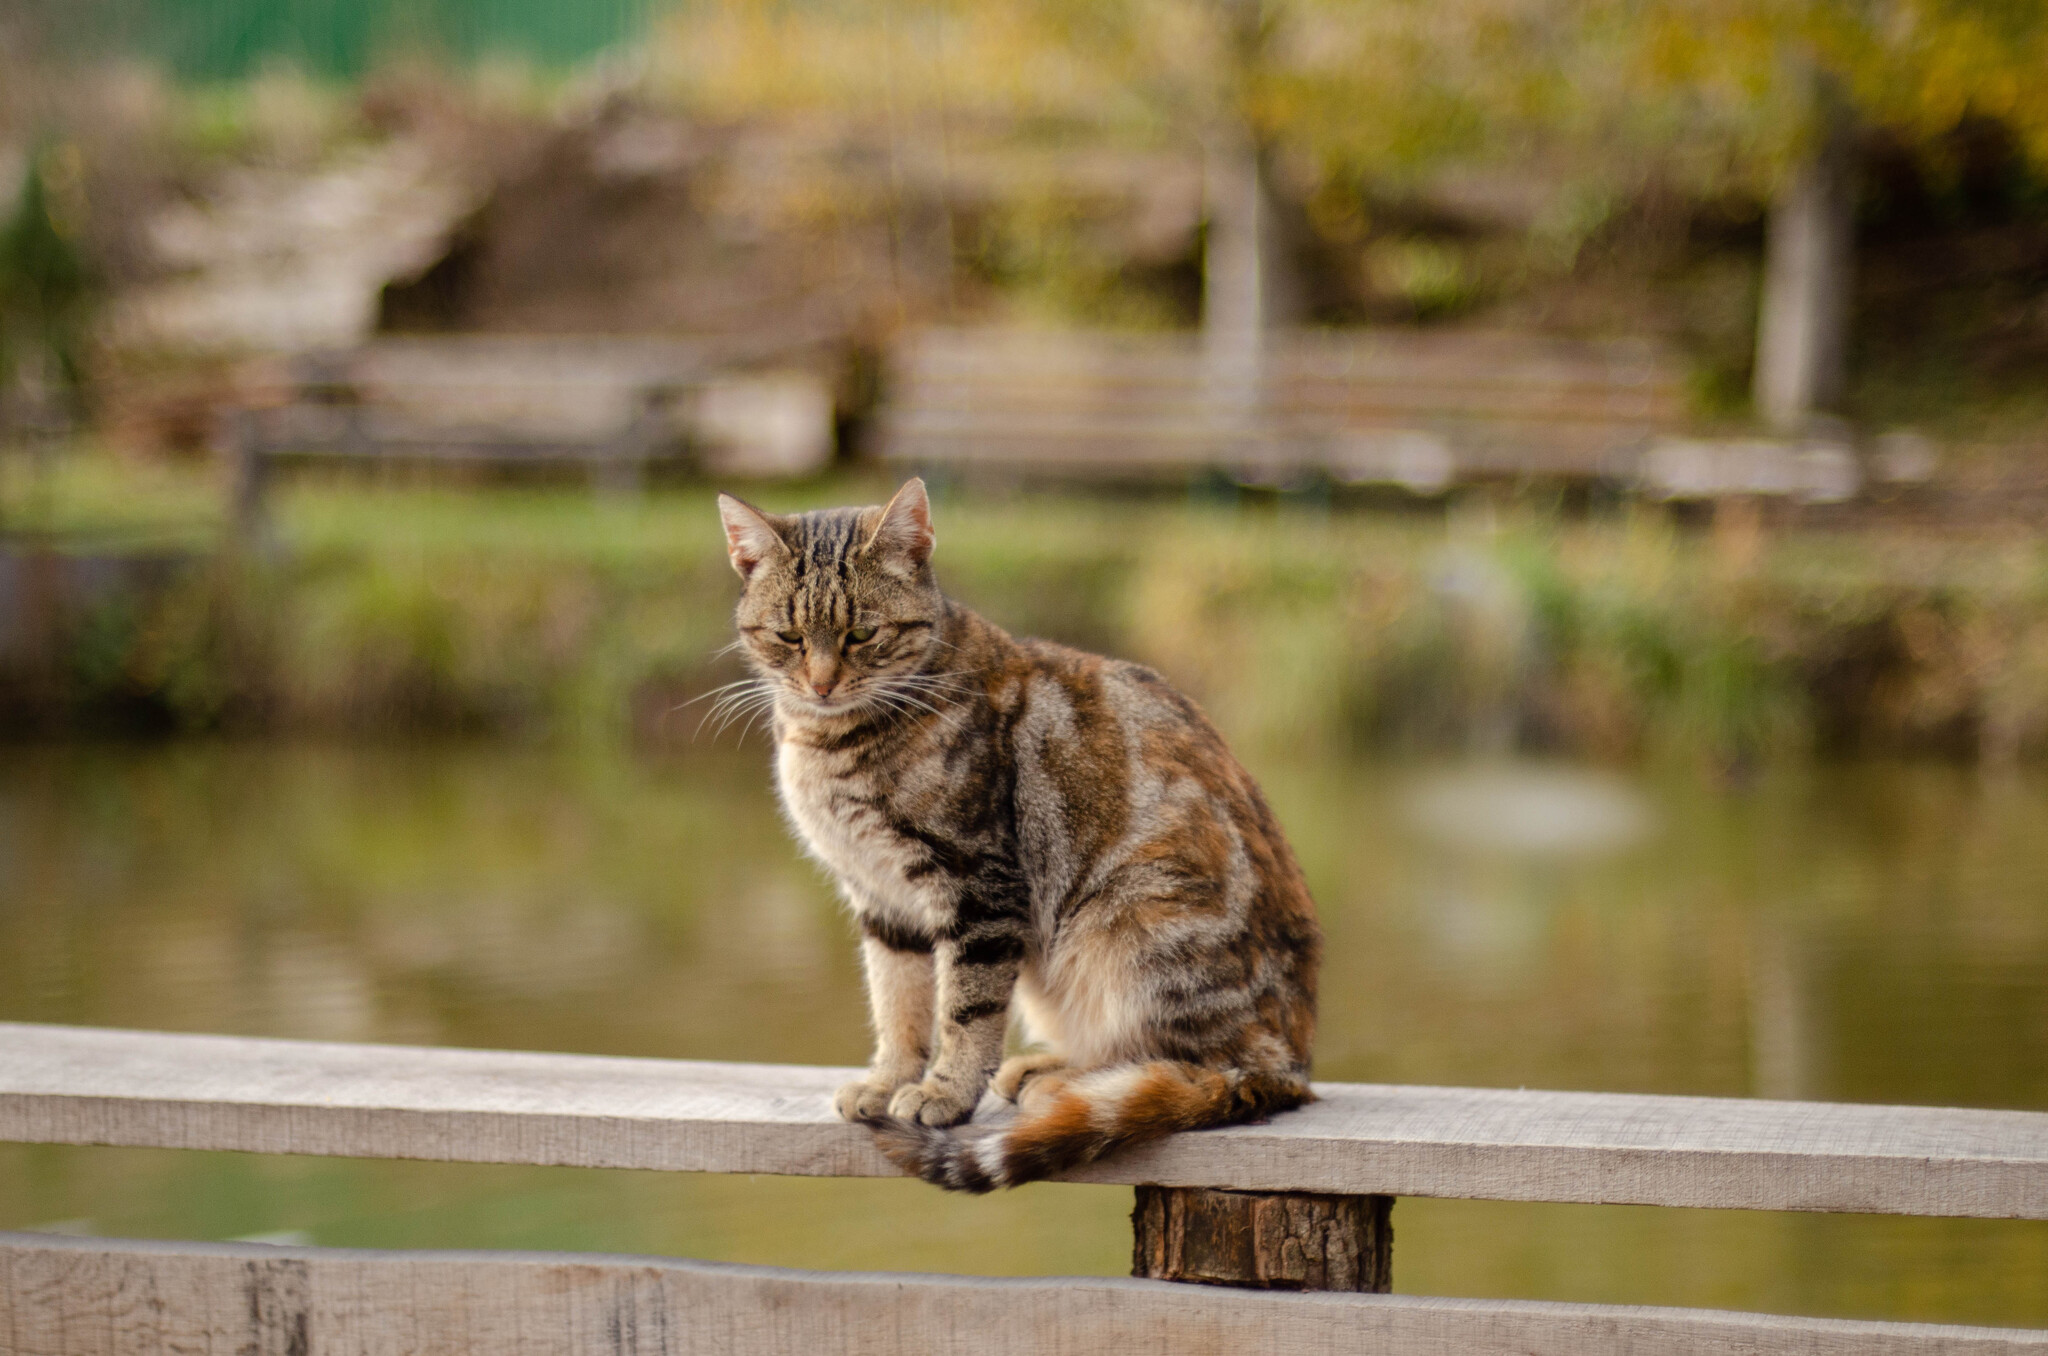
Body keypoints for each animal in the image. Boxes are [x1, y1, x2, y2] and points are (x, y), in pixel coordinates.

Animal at [720, 477, 1327, 1188]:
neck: (832, 741)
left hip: (1132, 923)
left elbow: (965, 1009)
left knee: (1193, 1067)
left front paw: (945, 1092)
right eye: (788, 636)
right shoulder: (882, 898)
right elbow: (897, 1002)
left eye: (862, 633)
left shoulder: (979, 885)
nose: (820, 684)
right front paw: (889, 1078)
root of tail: (1292, 1066)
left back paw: (1068, 1080)